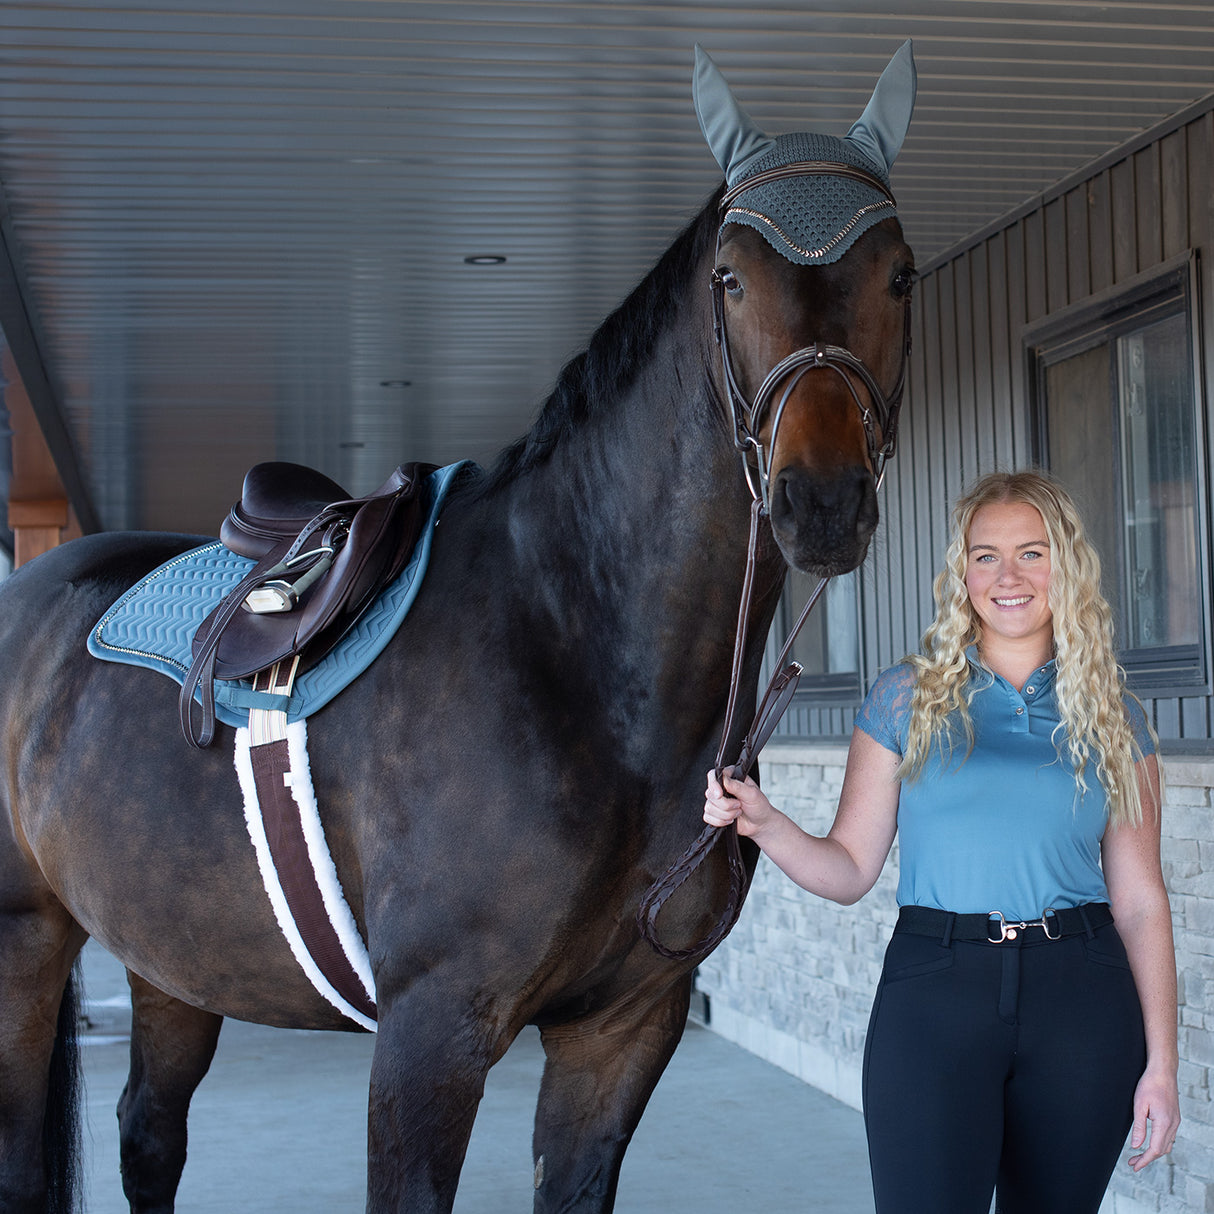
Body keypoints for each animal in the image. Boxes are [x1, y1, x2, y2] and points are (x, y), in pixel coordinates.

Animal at [0, 42, 912, 1209]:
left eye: (899, 274)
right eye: (731, 278)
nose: (821, 501)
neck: (577, 647)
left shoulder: (620, 1035)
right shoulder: (430, 1035)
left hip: (171, 954)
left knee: (148, 1137)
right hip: (26, 946)